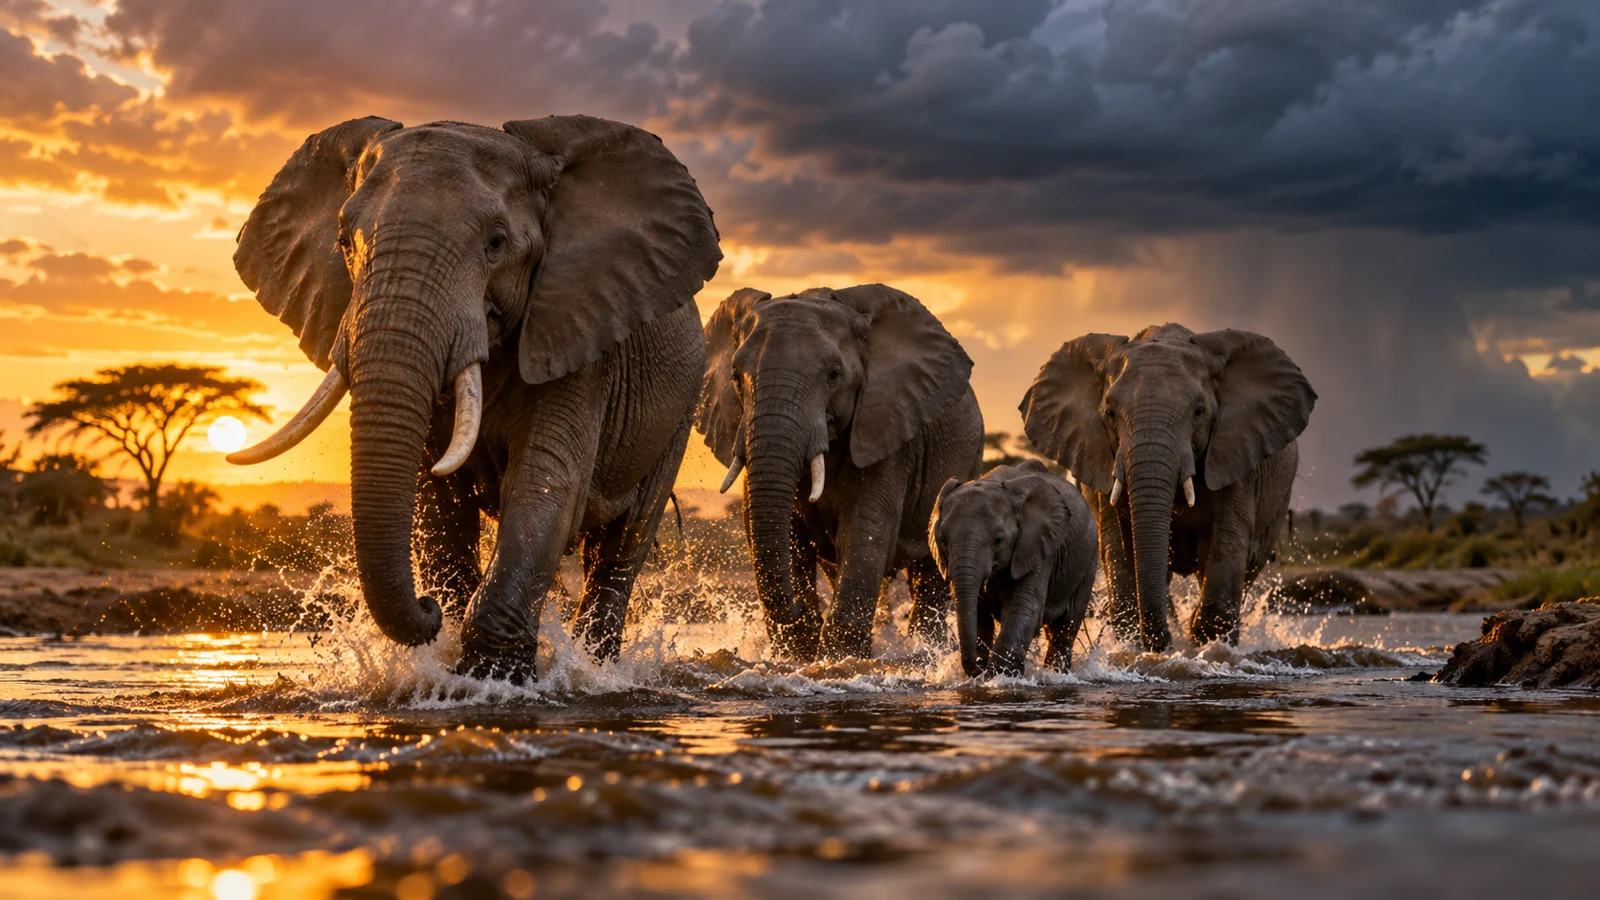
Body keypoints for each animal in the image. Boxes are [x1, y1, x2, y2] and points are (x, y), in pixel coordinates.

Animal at [226, 114, 721, 682]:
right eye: (344, 242)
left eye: (497, 243)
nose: (428, 608)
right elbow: (438, 505)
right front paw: (448, 654)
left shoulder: (576, 336)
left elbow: (544, 487)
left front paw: (493, 679)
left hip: (680, 410)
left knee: (622, 547)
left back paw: (597, 669)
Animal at [696, 285, 984, 661]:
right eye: (734, 377)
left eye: (834, 375)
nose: (799, 609)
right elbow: (789, 536)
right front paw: (800, 652)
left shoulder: (887, 429)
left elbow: (863, 531)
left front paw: (839, 658)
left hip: (968, 460)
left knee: (929, 577)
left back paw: (926, 650)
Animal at [929, 460, 1098, 677]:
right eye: (943, 540)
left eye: (998, 540)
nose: (977, 669)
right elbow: (979, 612)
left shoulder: (1037, 548)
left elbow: (1024, 605)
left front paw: (1002, 674)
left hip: (1088, 560)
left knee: (1064, 628)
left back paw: (1057, 674)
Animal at [1020, 324, 1315, 652]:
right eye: (1110, 413)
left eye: (1199, 412)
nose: (1162, 641)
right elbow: (1118, 550)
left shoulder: (1237, 455)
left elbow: (1225, 551)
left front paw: (1204, 646)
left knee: (1248, 566)